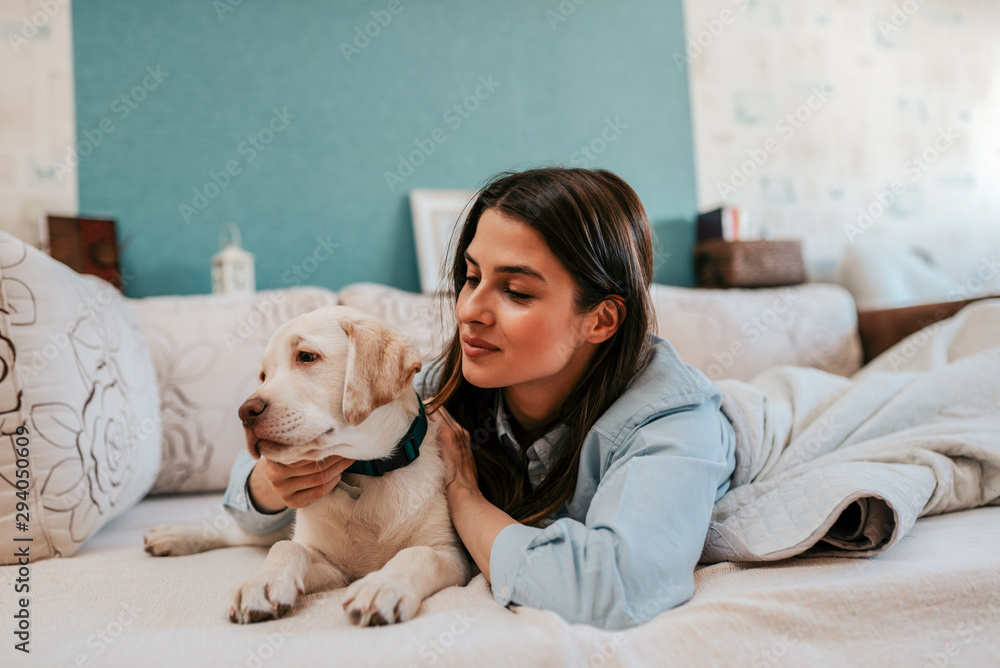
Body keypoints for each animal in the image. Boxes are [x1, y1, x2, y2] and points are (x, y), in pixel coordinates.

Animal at [144, 306, 472, 628]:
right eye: (263, 375)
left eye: (306, 356)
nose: (245, 413)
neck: (366, 474)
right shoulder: (331, 564)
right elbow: (288, 547)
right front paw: (263, 583)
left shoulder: (451, 556)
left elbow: (419, 554)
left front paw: (381, 586)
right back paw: (172, 536)